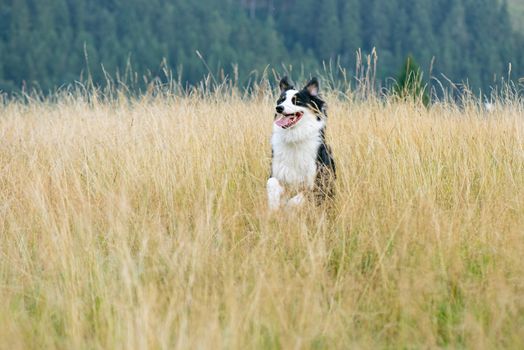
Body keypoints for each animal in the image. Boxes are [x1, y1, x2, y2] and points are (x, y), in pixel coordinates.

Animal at [266, 76, 336, 211]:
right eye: (281, 100)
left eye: (296, 101)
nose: (279, 108)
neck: (294, 137)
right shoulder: (278, 172)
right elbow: (271, 183)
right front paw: (274, 206)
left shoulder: (317, 182)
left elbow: (297, 198)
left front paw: (287, 209)